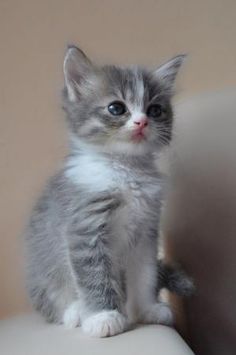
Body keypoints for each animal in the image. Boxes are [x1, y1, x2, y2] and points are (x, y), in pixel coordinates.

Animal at [25, 46, 186, 338]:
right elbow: (95, 276)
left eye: (155, 110)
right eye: (116, 108)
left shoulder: (146, 233)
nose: (142, 122)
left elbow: (145, 275)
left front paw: (147, 309)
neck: (125, 172)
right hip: (42, 275)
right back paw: (76, 312)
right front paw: (103, 316)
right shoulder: (84, 229)